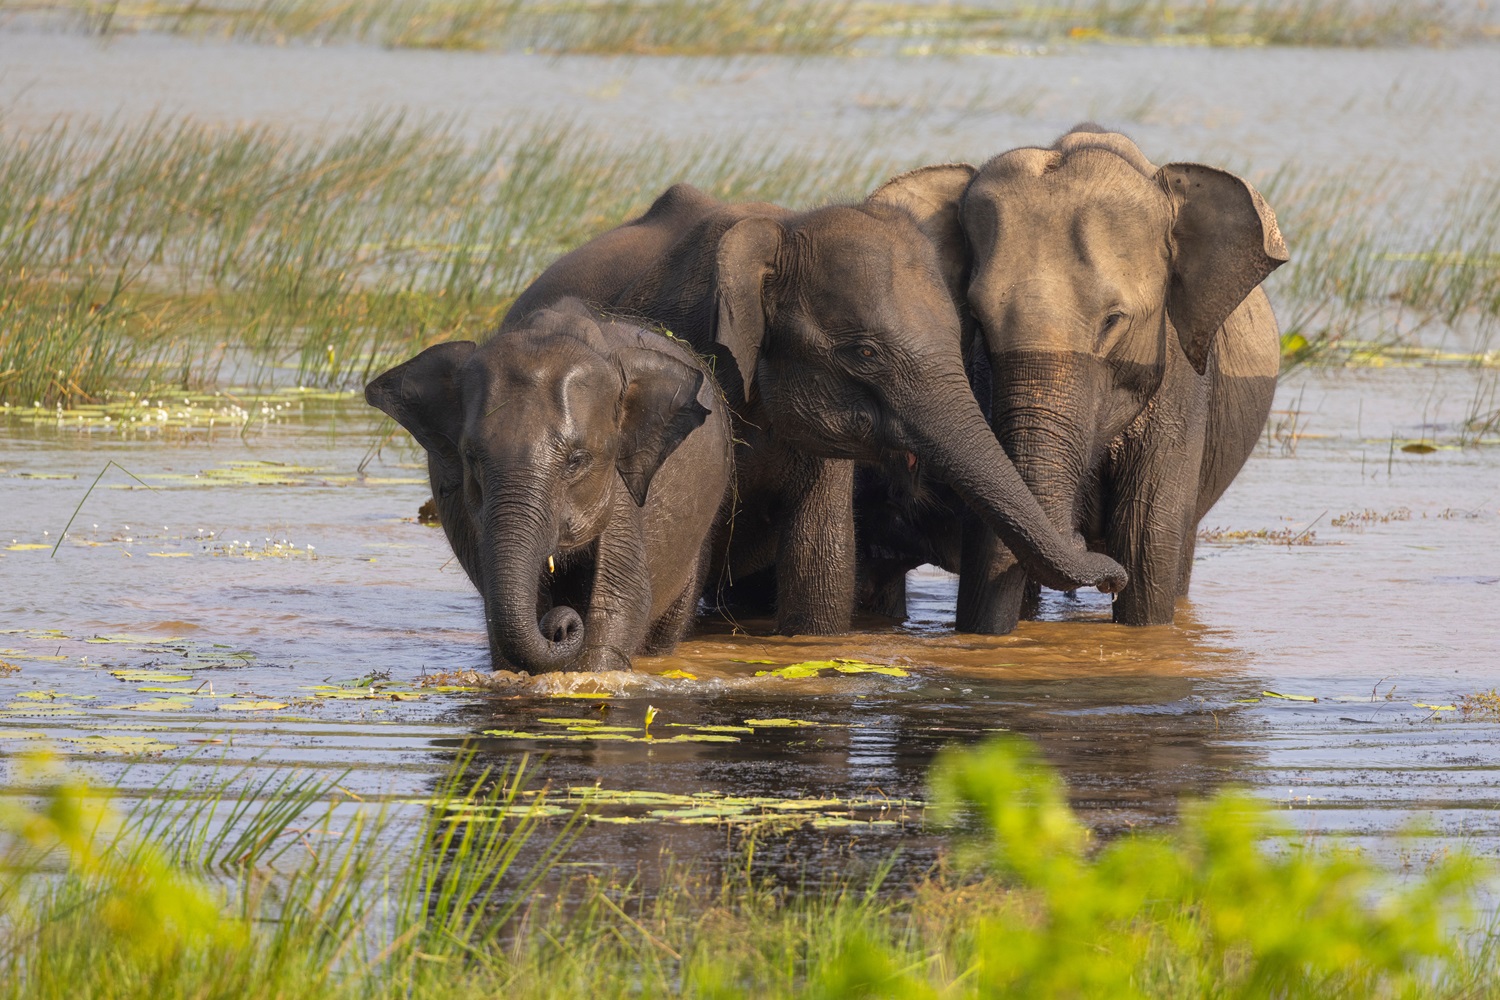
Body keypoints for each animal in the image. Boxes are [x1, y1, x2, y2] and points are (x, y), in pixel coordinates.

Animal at [876, 122, 1290, 632]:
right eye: (977, 320)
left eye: (1113, 321)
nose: (1107, 576)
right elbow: (992, 547)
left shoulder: (1184, 384)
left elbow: (1145, 544)